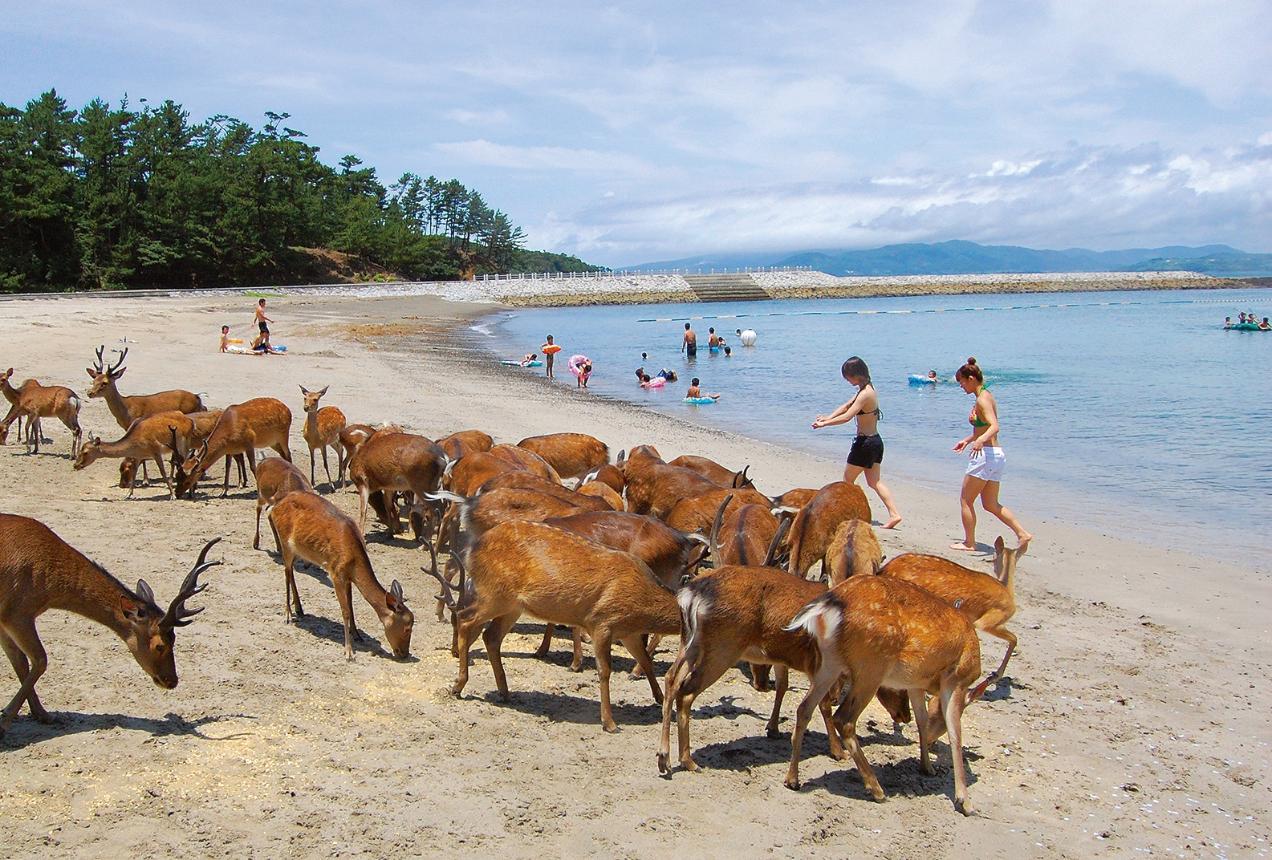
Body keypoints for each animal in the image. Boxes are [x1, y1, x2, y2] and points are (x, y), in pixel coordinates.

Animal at [0, 513, 218, 737]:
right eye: (160, 645)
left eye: (174, 639)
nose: (172, 681)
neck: (48, 589)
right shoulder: (18, 613)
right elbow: (40, 660)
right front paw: (5, 721)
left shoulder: (4, 618)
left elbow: (19, 661)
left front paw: (44, 715)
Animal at [268, 485, 412, 661]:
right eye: (407, 628)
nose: (404, 654)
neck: (353, 558)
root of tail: (276, 503)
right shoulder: (335, 573)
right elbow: (345, 611)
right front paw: (349, 652)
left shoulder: (348, 577)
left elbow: (351, 607)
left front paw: (357, 635)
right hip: (284, 542)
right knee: (287, 572)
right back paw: (288, 614)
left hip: (296, 550)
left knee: (291, 573)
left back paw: (300, 610)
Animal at [432, 516, 681, 732]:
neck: (643, 602)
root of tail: (473, 548)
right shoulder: (602, 622)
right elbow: (604, 670)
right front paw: (610, 723)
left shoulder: (628, 632)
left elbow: (646, 661)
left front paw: (661, 700)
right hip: (494, 594)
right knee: (465, 619)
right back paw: (458, 685)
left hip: (513, 606)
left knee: (490, 635)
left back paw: (505, 692)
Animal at [773, 575, 981, 814]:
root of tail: (828, 605)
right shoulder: (956, 679)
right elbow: (956, 734)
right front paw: (965, 802)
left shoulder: (914, 683)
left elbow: (922, 721)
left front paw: (927, 767)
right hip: (871, 666)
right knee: (844, 719)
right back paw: (877, 789)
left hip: (831, 662)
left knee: (804, 708)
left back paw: (792, 779)